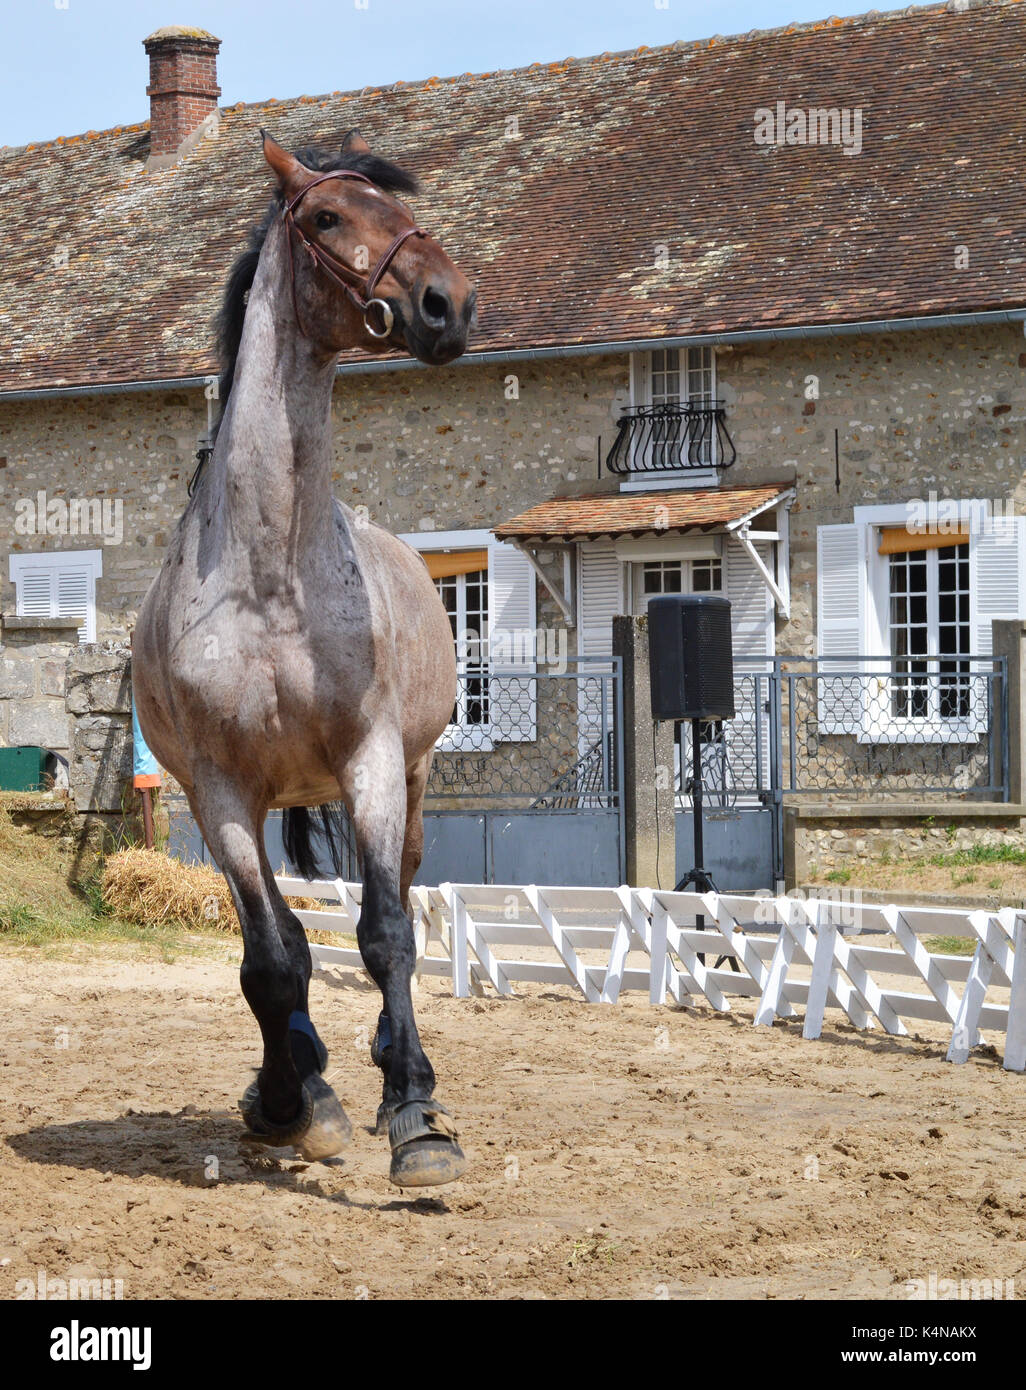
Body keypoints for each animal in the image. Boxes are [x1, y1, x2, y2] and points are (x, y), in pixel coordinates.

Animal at [130, 130, 475, 1184]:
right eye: (328, 217)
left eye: (401, 207)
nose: (449, 303)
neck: (269, 575)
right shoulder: (220, 792)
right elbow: (272, 959)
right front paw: (291, 1101)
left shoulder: (370, 764)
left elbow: (385, 934)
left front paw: (417, 1118)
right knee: (277, 937)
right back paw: (306, 1079)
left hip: (412, 781)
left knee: (396, 900)